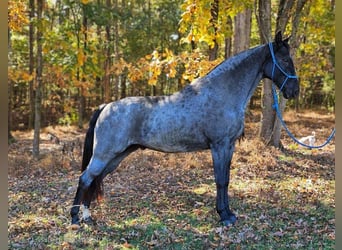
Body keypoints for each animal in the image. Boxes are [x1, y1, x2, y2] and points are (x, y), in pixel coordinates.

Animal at [70, 31, 300, 227]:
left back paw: (87, 217)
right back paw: (75, 218)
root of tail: (106, 106)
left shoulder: (229, 147)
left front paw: (229, 214)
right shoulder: (219, 146)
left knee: (94, 180)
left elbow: (226, 180)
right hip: (104, 155)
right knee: (85, 179)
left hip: (115, 157)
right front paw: (224, 216)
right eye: (285, 61)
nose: (294, 91)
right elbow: (220, 180)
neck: (222, 93)